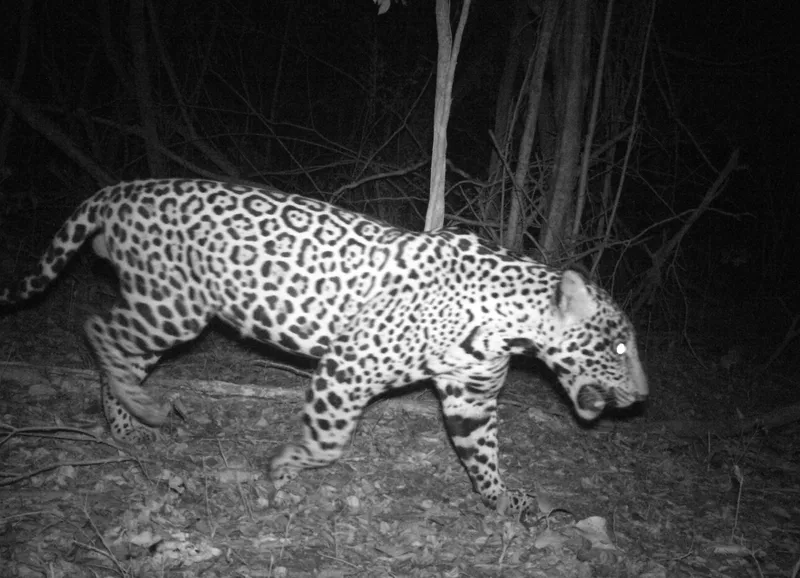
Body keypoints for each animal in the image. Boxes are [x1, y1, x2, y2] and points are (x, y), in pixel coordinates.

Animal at [0, 179, 648, 516]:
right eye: (618, 349)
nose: (644, 397)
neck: (508, 324)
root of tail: (121, 188)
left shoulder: (471, 396)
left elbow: (482, 453)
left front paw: (503, 501)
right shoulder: (347, 367)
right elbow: (331, 442)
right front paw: (284, 468)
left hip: (162, 308)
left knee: (119, 350)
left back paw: (128, 426)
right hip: (174, 306)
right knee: (97, 330)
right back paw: (145, 410)